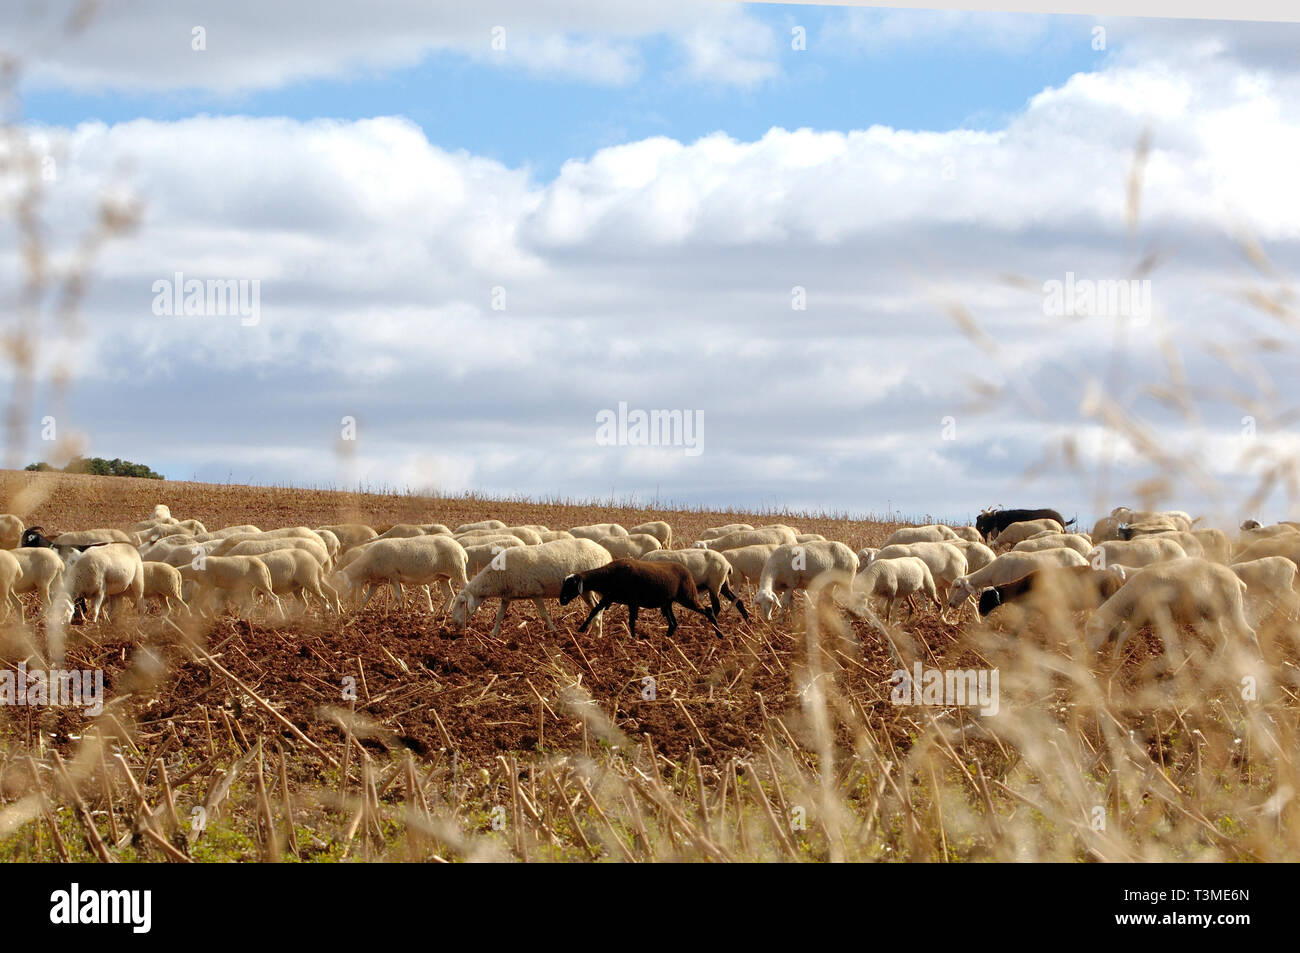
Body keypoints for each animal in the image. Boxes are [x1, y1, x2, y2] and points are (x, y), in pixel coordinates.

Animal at [449, 538, 611, 634]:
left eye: (462, 603)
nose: (455, 623)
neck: (497, 577)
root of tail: (606, 553)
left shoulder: (535, 592)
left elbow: (544, 615)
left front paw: (554, 631)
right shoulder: (506, 597)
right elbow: (499, 616)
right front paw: (493, 634)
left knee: (598, 606)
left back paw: (596, 632)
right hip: (585, 591)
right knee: (595, 606)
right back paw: (595, 632)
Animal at [559, 556, 722, 639]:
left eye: (571, 585)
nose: (562, 601)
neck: (608, 576)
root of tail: (687, 572)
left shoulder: (632, 600)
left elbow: (631, 620)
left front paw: (632, 638)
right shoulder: (609, 597)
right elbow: (594, 611)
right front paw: (580, 629)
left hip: (687, 596)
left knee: (708, 610)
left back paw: (719, 634)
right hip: (668, 602)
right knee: (673, 623)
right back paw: (666, 640)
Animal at [1086, 556, 1258, 655]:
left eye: (1093, 630)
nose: (1088, 651)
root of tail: (1237, 580)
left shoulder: (1162, 613)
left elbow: (1170, 642)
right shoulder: (1139, 620)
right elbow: (1123, 637)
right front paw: (1116, 660)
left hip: (1233, 607)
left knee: (1250, 634)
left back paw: (1259, 660)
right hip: (1212, 615)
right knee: (1223, 639)